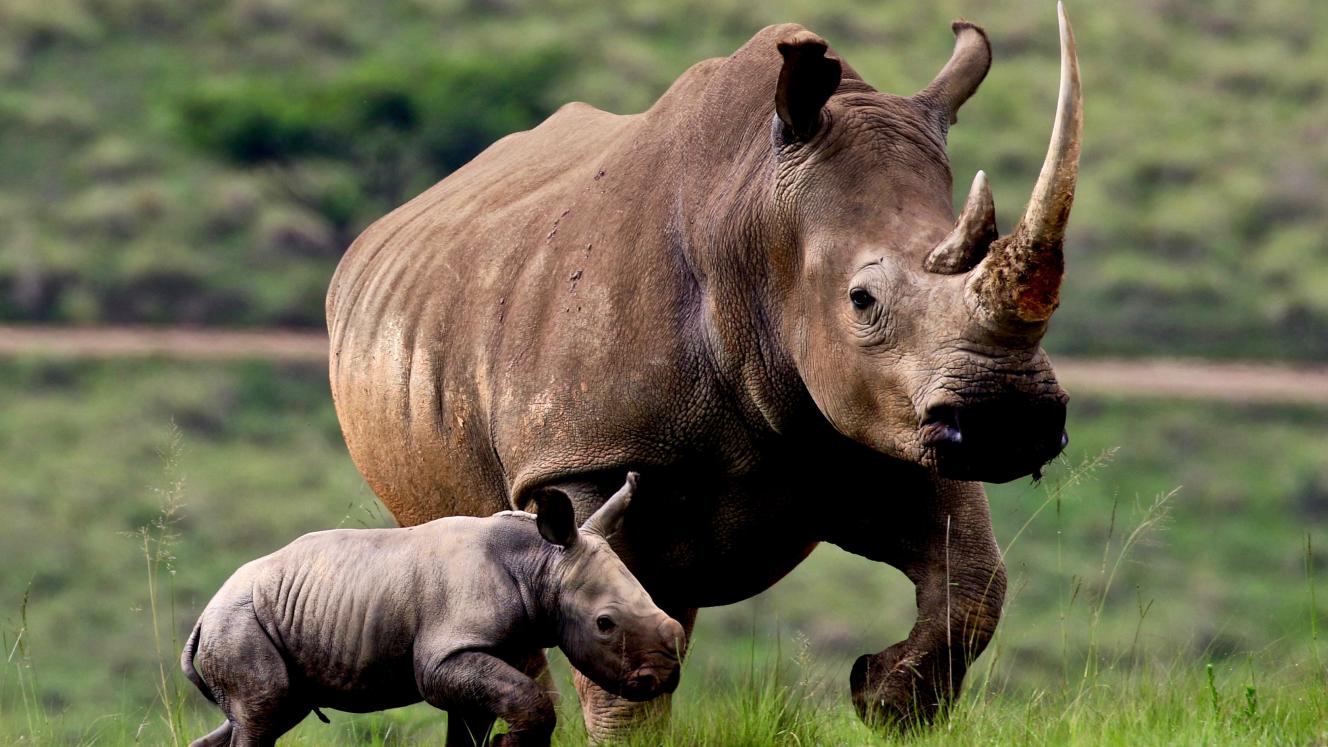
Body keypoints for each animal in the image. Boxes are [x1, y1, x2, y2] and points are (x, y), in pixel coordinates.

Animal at [181, 473, 684, 747]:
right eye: (605, 624)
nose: (661, 677)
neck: (538, 562)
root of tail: (203, 617)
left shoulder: (492, 655)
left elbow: (477, 724)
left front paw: (498, 742)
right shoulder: (447, 656)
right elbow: (529, 701)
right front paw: (508, 744)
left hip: (256, 618)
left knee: (267, 714)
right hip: (238, 622)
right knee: (263, 714)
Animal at [326, 4, 1082, 736]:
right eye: (862, 300)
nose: (1011, 419)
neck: (753, 223)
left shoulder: (889, 420)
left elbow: (975, 580)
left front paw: (883, 698)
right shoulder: (582, 454)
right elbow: (612, 657)